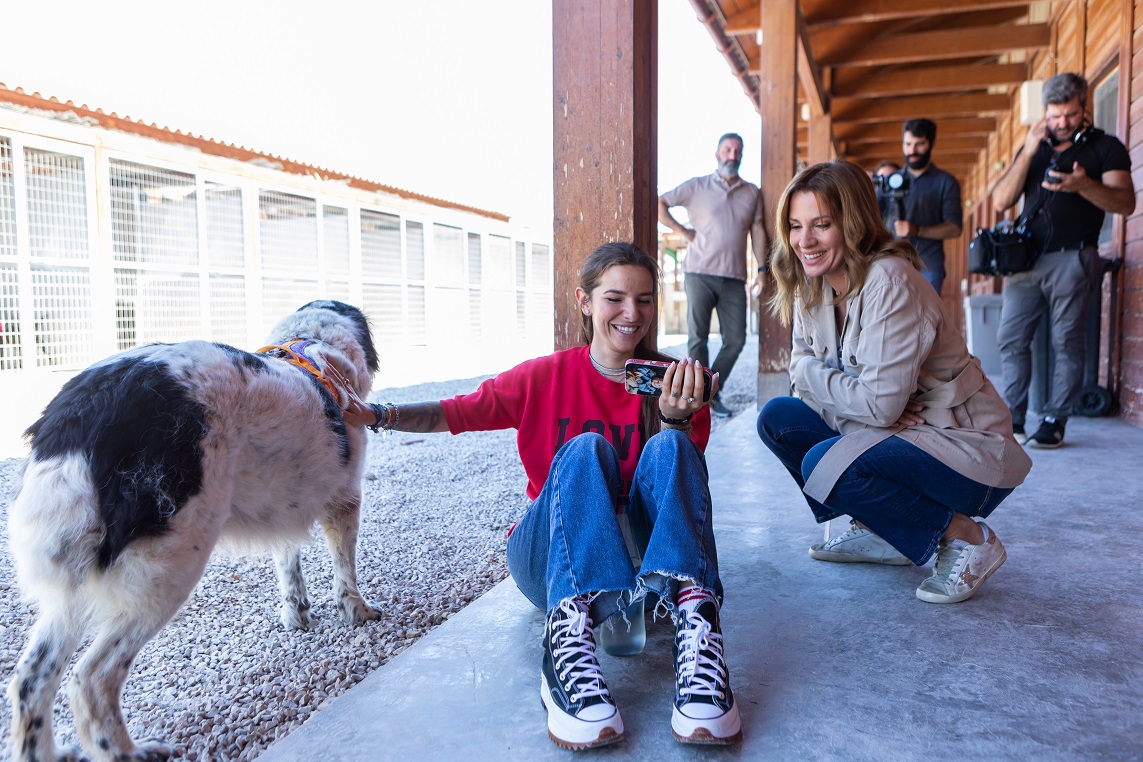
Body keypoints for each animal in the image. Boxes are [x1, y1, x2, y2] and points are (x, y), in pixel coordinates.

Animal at [7, 301, 379, 758]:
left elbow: (287, 562)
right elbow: (345, 571)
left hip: (72, 584)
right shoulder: (345, 501)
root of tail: (78, 416)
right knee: (91, 679)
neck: (312, 345)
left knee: (32, 678)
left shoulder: (284, 504)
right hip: (167, 567)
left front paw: (296, 613)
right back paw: (128, 751)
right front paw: (357, 612)